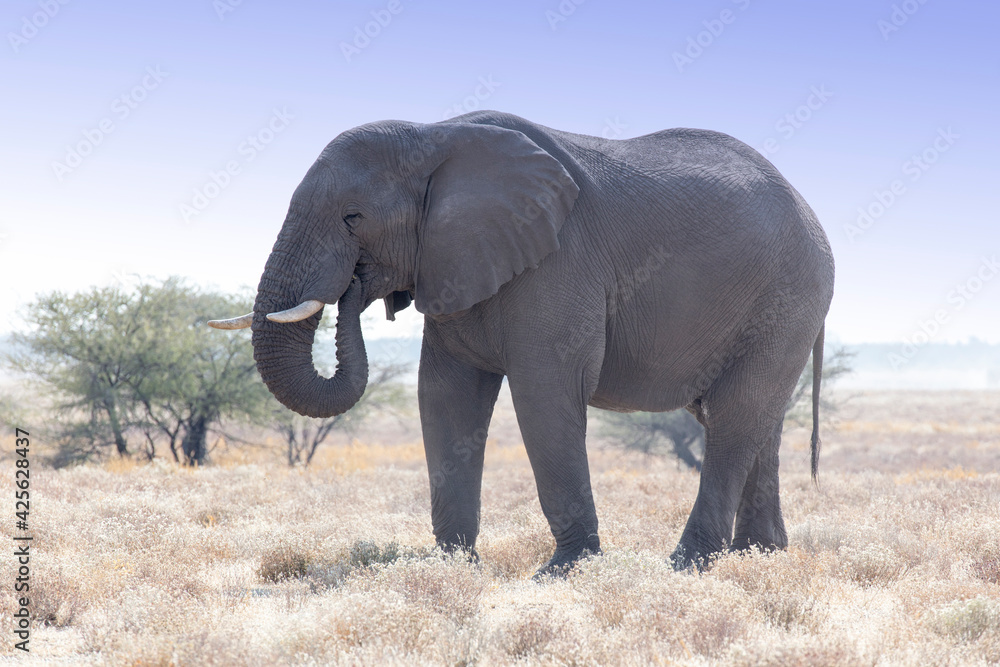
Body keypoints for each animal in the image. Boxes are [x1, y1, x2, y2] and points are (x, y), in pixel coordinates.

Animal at [209, 110, 834, 574]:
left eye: (353, 217)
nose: (355, 289)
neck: (434, 134)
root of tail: (810, 210)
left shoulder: (557, 262)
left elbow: (545, 395)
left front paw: (563, 572)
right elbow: (445, 397)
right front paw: (453, 568)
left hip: (790, 293)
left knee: (735, 413)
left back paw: (686, 566)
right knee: (755, 418)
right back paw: (760, 556)